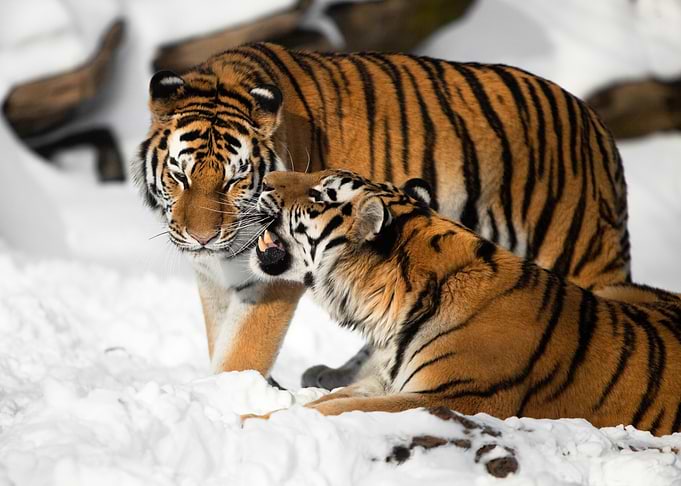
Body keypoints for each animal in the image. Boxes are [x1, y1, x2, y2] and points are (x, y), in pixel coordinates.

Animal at [133, 42, 630, 388]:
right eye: (179, 175)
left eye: (235, 180)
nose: (201, 237)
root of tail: (598, 125)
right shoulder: (214, 277)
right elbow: (221, 339)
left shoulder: (272, 279)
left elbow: (242, 353)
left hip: (575, 251)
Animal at [248, 169, 681, 436]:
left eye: (322, 194)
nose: (264, 179)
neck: (391, 309)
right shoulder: (383, 381)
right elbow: (331, 400)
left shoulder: (450, 396)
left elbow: (333, 409)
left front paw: (249, 421)